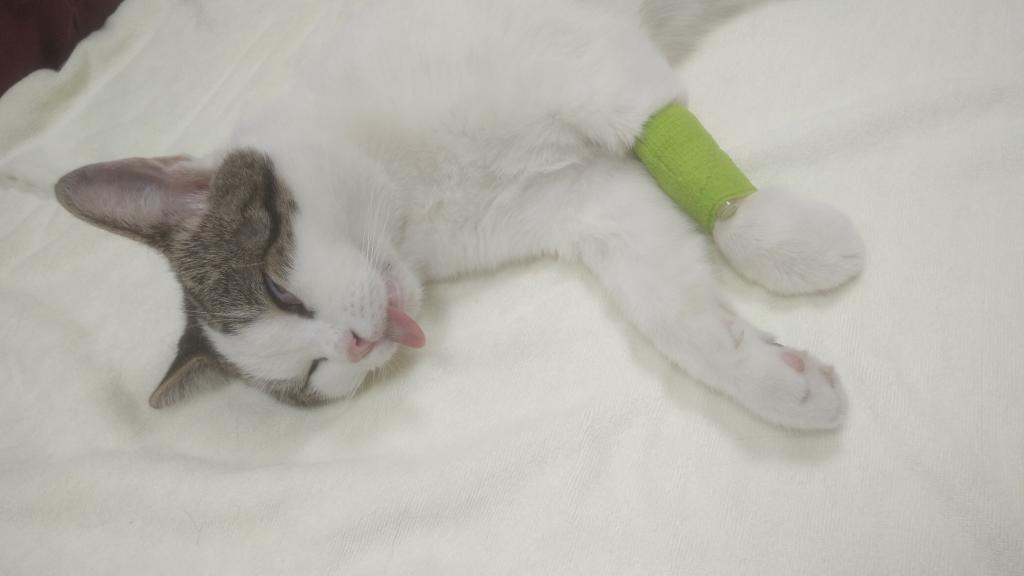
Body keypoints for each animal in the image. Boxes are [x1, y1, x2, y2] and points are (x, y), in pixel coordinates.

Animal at [54, 0, 864, 429]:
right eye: (313, 376)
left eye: (279, 289)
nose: (356, 344)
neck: (410, 204)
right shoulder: (588, 201)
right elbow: (675, 313)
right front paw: (774, 378)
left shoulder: (590, 64)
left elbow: (678, 156)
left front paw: (777, 238)